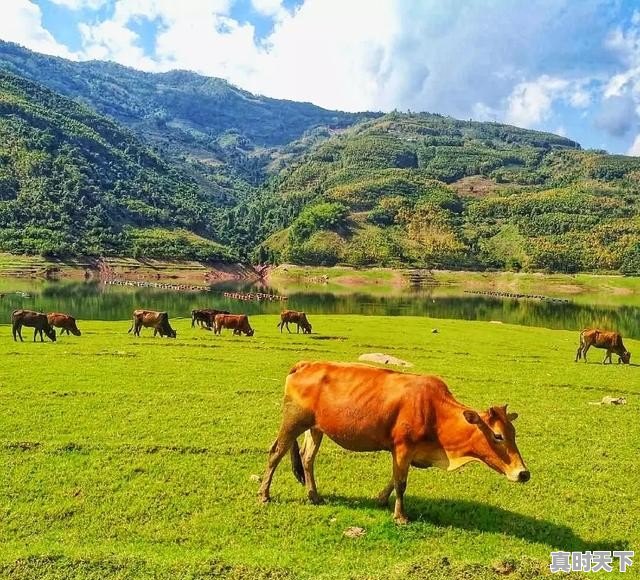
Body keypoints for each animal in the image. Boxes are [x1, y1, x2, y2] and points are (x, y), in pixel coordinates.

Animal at [258, 360, 528, 524]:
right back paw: (264, 494)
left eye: (513, 433)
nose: (523, 473)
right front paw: (400, 516)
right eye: (498, 435)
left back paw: (314, 495)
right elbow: (401, 483)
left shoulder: (406, 452)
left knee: (307, 458)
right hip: (293, 422)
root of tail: (305, 364)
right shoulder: (402, 447)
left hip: (315, 428)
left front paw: (380, 499)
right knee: (276, 452)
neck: (435, 411)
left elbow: (394, 478)